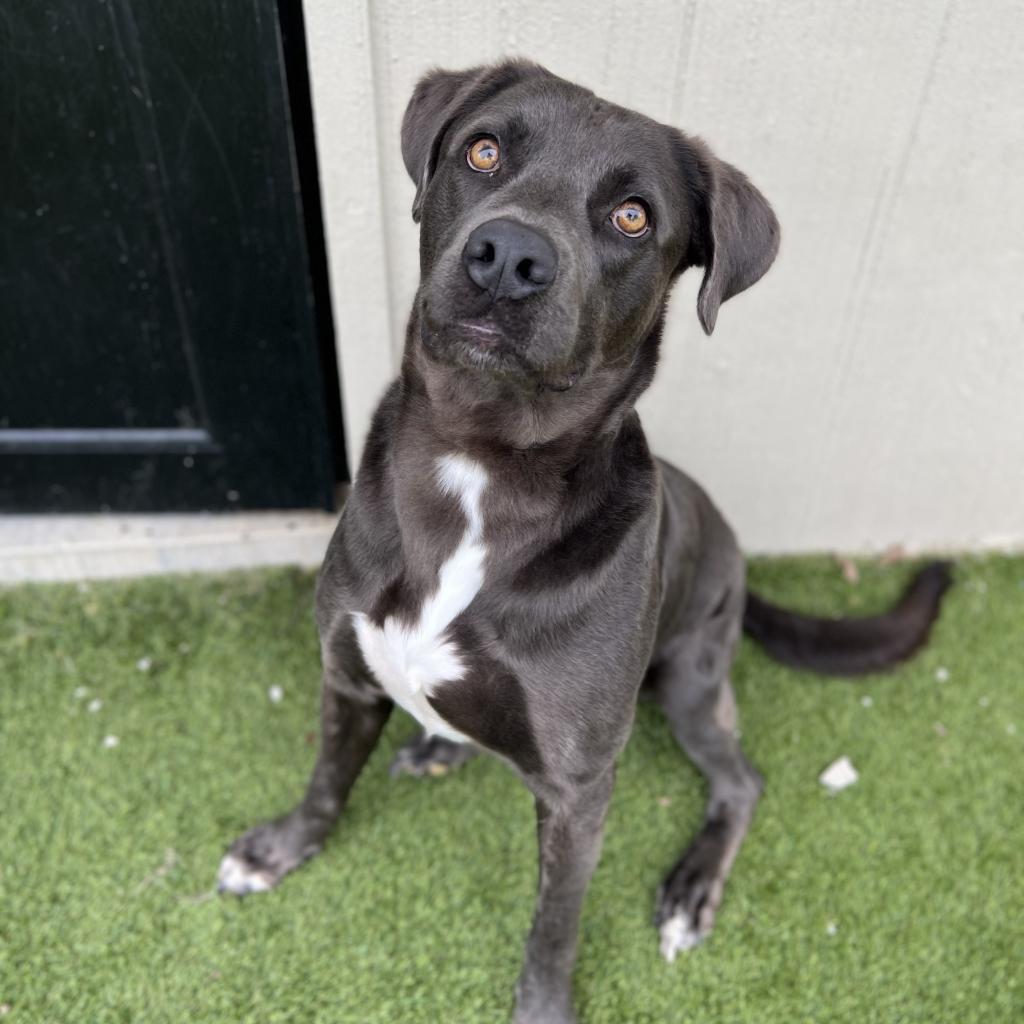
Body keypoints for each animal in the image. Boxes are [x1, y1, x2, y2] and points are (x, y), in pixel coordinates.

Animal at [218, 61, 950, 1024]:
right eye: (483, 151)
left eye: (632, 215)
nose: (507, 257)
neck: (478, 463)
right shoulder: (345, 671)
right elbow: (327, 777)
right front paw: (281, 848)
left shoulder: (576, 790)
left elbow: (554, 923)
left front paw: (543, 1005)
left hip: (689, 680)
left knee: (741, 781)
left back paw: (691, 888)